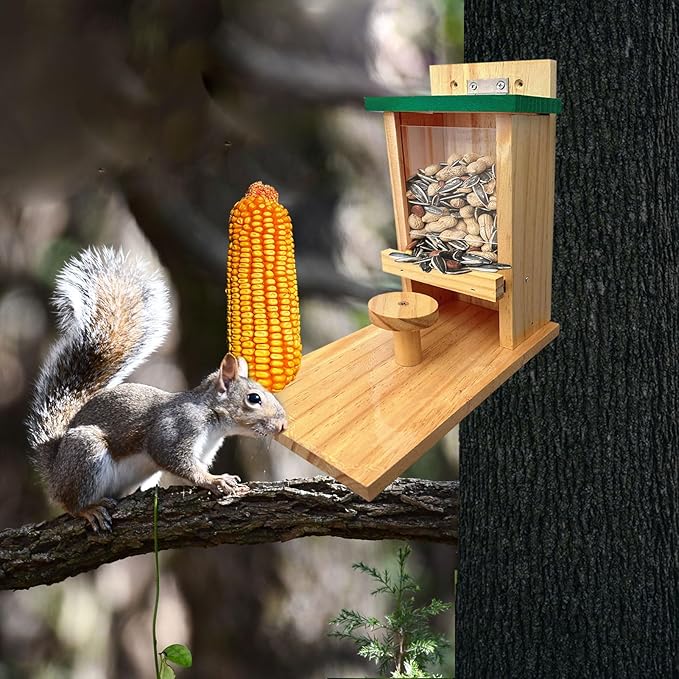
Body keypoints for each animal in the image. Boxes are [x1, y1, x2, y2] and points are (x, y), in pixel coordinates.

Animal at [26, 247, 288, 532]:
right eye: (254, 398)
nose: (283, 426)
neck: (214, 421)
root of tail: (54, 473)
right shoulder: (177, 427)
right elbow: (175, 458)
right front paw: (214, 480)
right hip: (85, 453)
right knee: (72, 504)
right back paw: (89, 509)